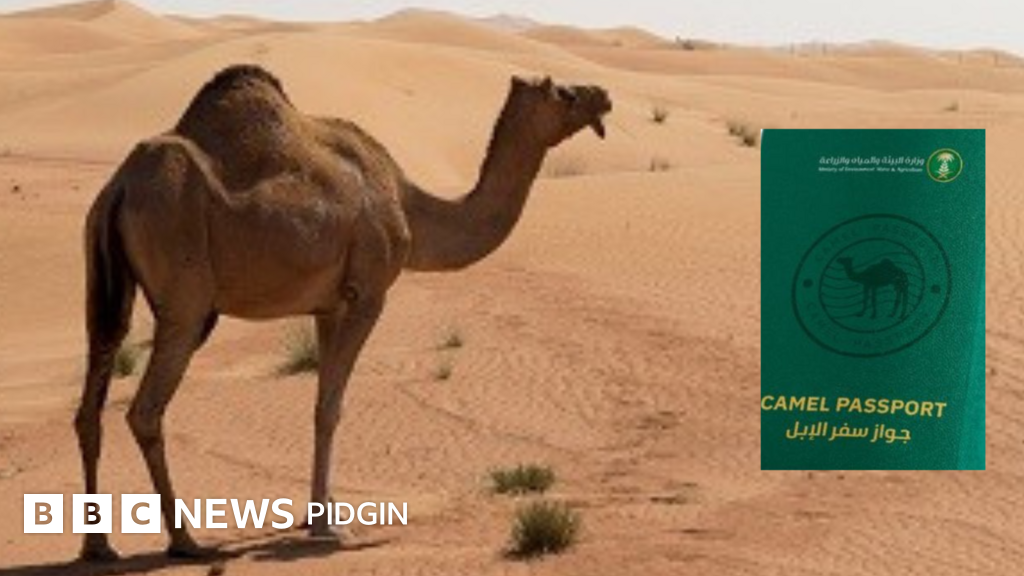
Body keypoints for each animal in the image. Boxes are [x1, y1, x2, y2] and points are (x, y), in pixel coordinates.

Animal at [75, 65, 611, 561]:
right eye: (565, 92)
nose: (603, 94)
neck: (409, 205)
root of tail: (119, 188)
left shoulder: (328, 305)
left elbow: (319, 407)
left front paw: (321, 513)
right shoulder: (368, 293)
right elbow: (332, 408)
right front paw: (327, 528)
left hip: (105, 289)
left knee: (91, 401)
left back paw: (98, 546)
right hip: (187, 300)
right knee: (146, 410)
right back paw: (185, 541)